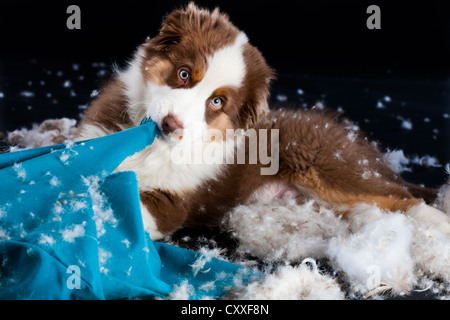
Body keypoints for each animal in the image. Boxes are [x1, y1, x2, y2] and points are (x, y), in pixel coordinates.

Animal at [77, 3, 450, 240]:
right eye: (184, 74)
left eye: (216, 102)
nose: (171, 124)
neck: (153, 145)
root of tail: (352, 137)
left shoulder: (173, 202)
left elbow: (128, 206)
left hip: (332, 170)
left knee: (407, 198)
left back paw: (439, 229)